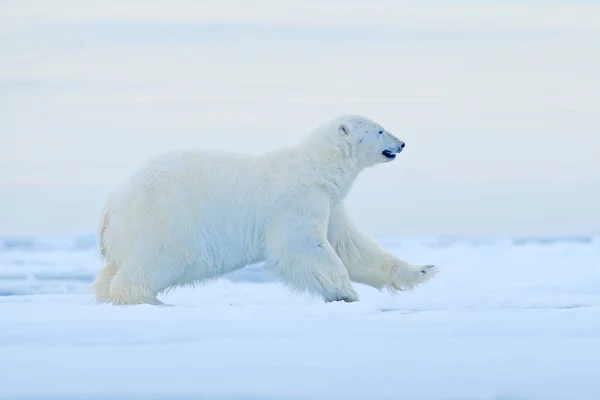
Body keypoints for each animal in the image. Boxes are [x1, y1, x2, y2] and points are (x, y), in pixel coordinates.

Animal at [95, 114, 440, 304]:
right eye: (380, 130)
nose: (402, 143)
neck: (317, 168)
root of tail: (112, 203)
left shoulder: (329, 204)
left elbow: (352, 247)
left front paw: (424, 270)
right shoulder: (297, 202)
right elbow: (302, 245)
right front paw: (345, 292)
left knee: (112, 270)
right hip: (164, 220)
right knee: (153, 264)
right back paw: (149, 300)